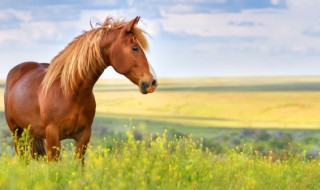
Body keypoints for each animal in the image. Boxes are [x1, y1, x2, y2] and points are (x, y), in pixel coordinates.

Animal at [2, 15, 158, 163]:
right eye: (134, 48)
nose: (153, 82)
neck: (70, 92)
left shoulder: (83, 137)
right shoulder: (52, 137)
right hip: (17, 133)